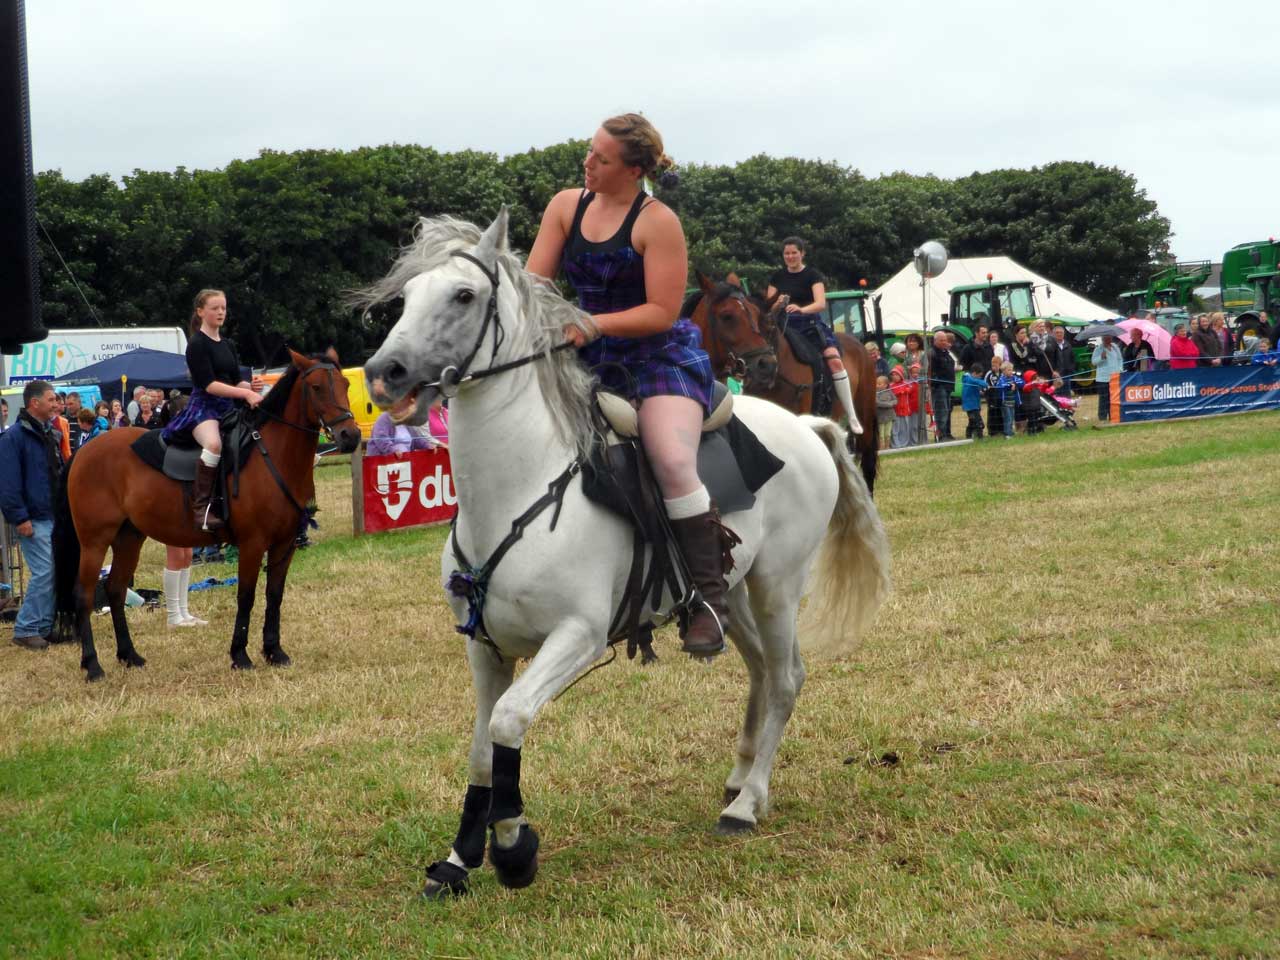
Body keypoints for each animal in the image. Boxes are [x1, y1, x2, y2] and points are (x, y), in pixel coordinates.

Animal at [50, 350, 360, 680]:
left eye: (345, 385)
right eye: (316, 387)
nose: (350, 436)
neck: (272, 456)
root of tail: (83, 452)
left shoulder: (284, 544)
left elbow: (274, 595)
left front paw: (274, 651)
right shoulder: (252, 544)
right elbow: (246, 596)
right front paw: (240, 655)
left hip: (129, 538)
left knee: (116, 590)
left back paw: (129, 655)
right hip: (94, 542)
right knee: (83, 596)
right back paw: (93, 665)